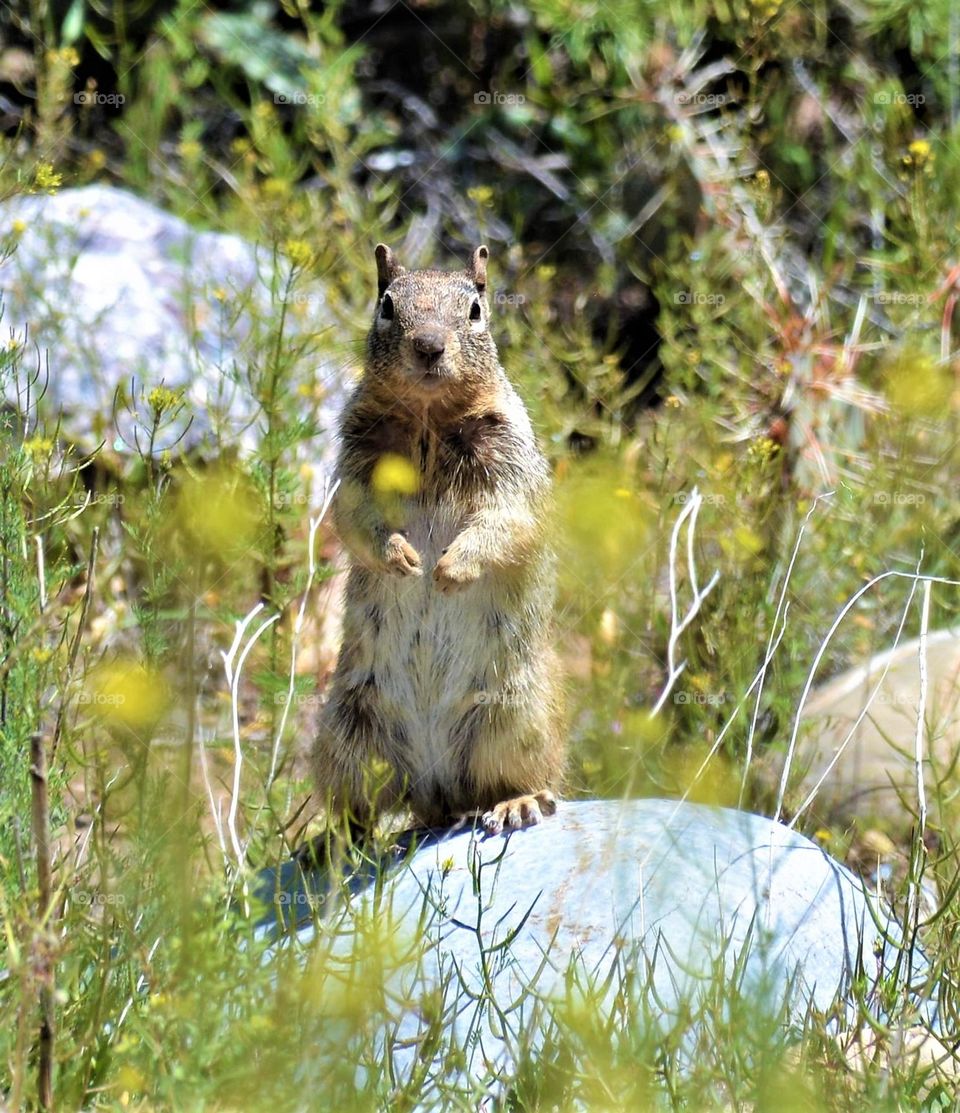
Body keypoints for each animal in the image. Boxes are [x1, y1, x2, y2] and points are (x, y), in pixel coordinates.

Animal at [312, 243, 565, 836]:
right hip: (348, 731)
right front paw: (401, 559)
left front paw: (450, 568)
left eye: (475, 310)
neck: (427, 418)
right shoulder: (355, 464)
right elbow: (353, 517)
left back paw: (518, 803)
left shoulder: (511, 463)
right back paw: (334, 841)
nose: (428, 346)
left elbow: (506, 519)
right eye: (385, 304)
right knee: (362, 805)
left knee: (519, 777)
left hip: (514, 714)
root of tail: (436, 787)